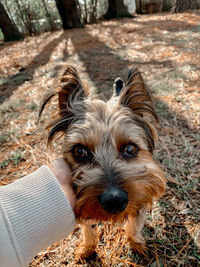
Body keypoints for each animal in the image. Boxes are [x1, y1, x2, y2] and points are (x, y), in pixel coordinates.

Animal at [38, 64, 166, 260]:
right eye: (80, 151)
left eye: (130, 149)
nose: (114, 200)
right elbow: (88, 229)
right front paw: (87, 248)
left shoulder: (141, 197)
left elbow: (134, 224)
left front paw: (136, 243)